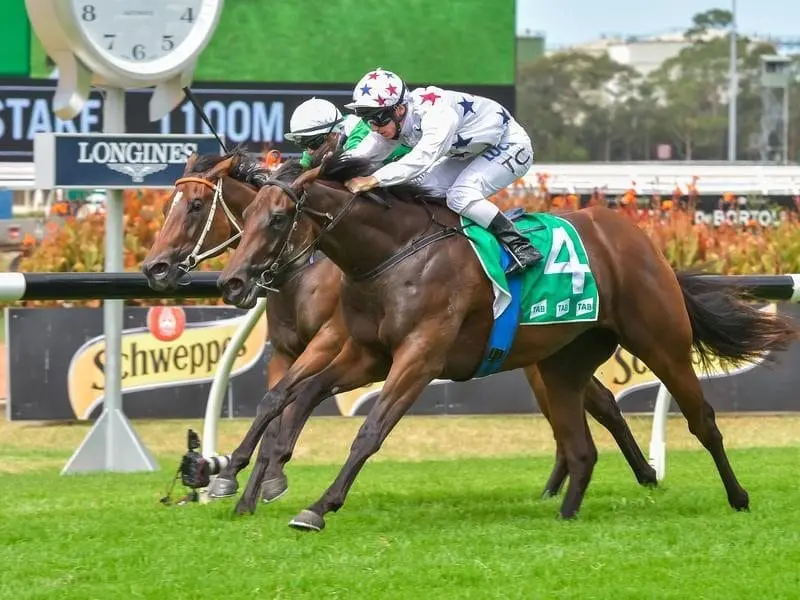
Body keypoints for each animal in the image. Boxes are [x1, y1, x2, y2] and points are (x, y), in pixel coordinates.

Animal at [139, 145, 656, 502]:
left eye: (195, 207)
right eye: (245, 215)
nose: (154, 268)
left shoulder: (331, 341)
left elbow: (286, 401)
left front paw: (250, 477)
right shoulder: (289, 350)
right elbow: (274, 401)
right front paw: (242, 476)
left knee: (598, 403)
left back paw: (642, 474)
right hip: (539, 353)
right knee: (580, 403)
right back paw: (568, 483)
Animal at [216, 150, 796, 528]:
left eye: (278, 217)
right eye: (245, 215)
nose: (232, 282)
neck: (393, 255)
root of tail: (640, 239)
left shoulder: (420, 356)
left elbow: (370, 430)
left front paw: (317, 506)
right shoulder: (367, 354)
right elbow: (299, 395)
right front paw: (266, 471)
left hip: (660, 341)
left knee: (702, 421)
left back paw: (737, 497)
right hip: (561, 364)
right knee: (582, 445)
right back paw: (566, 514)